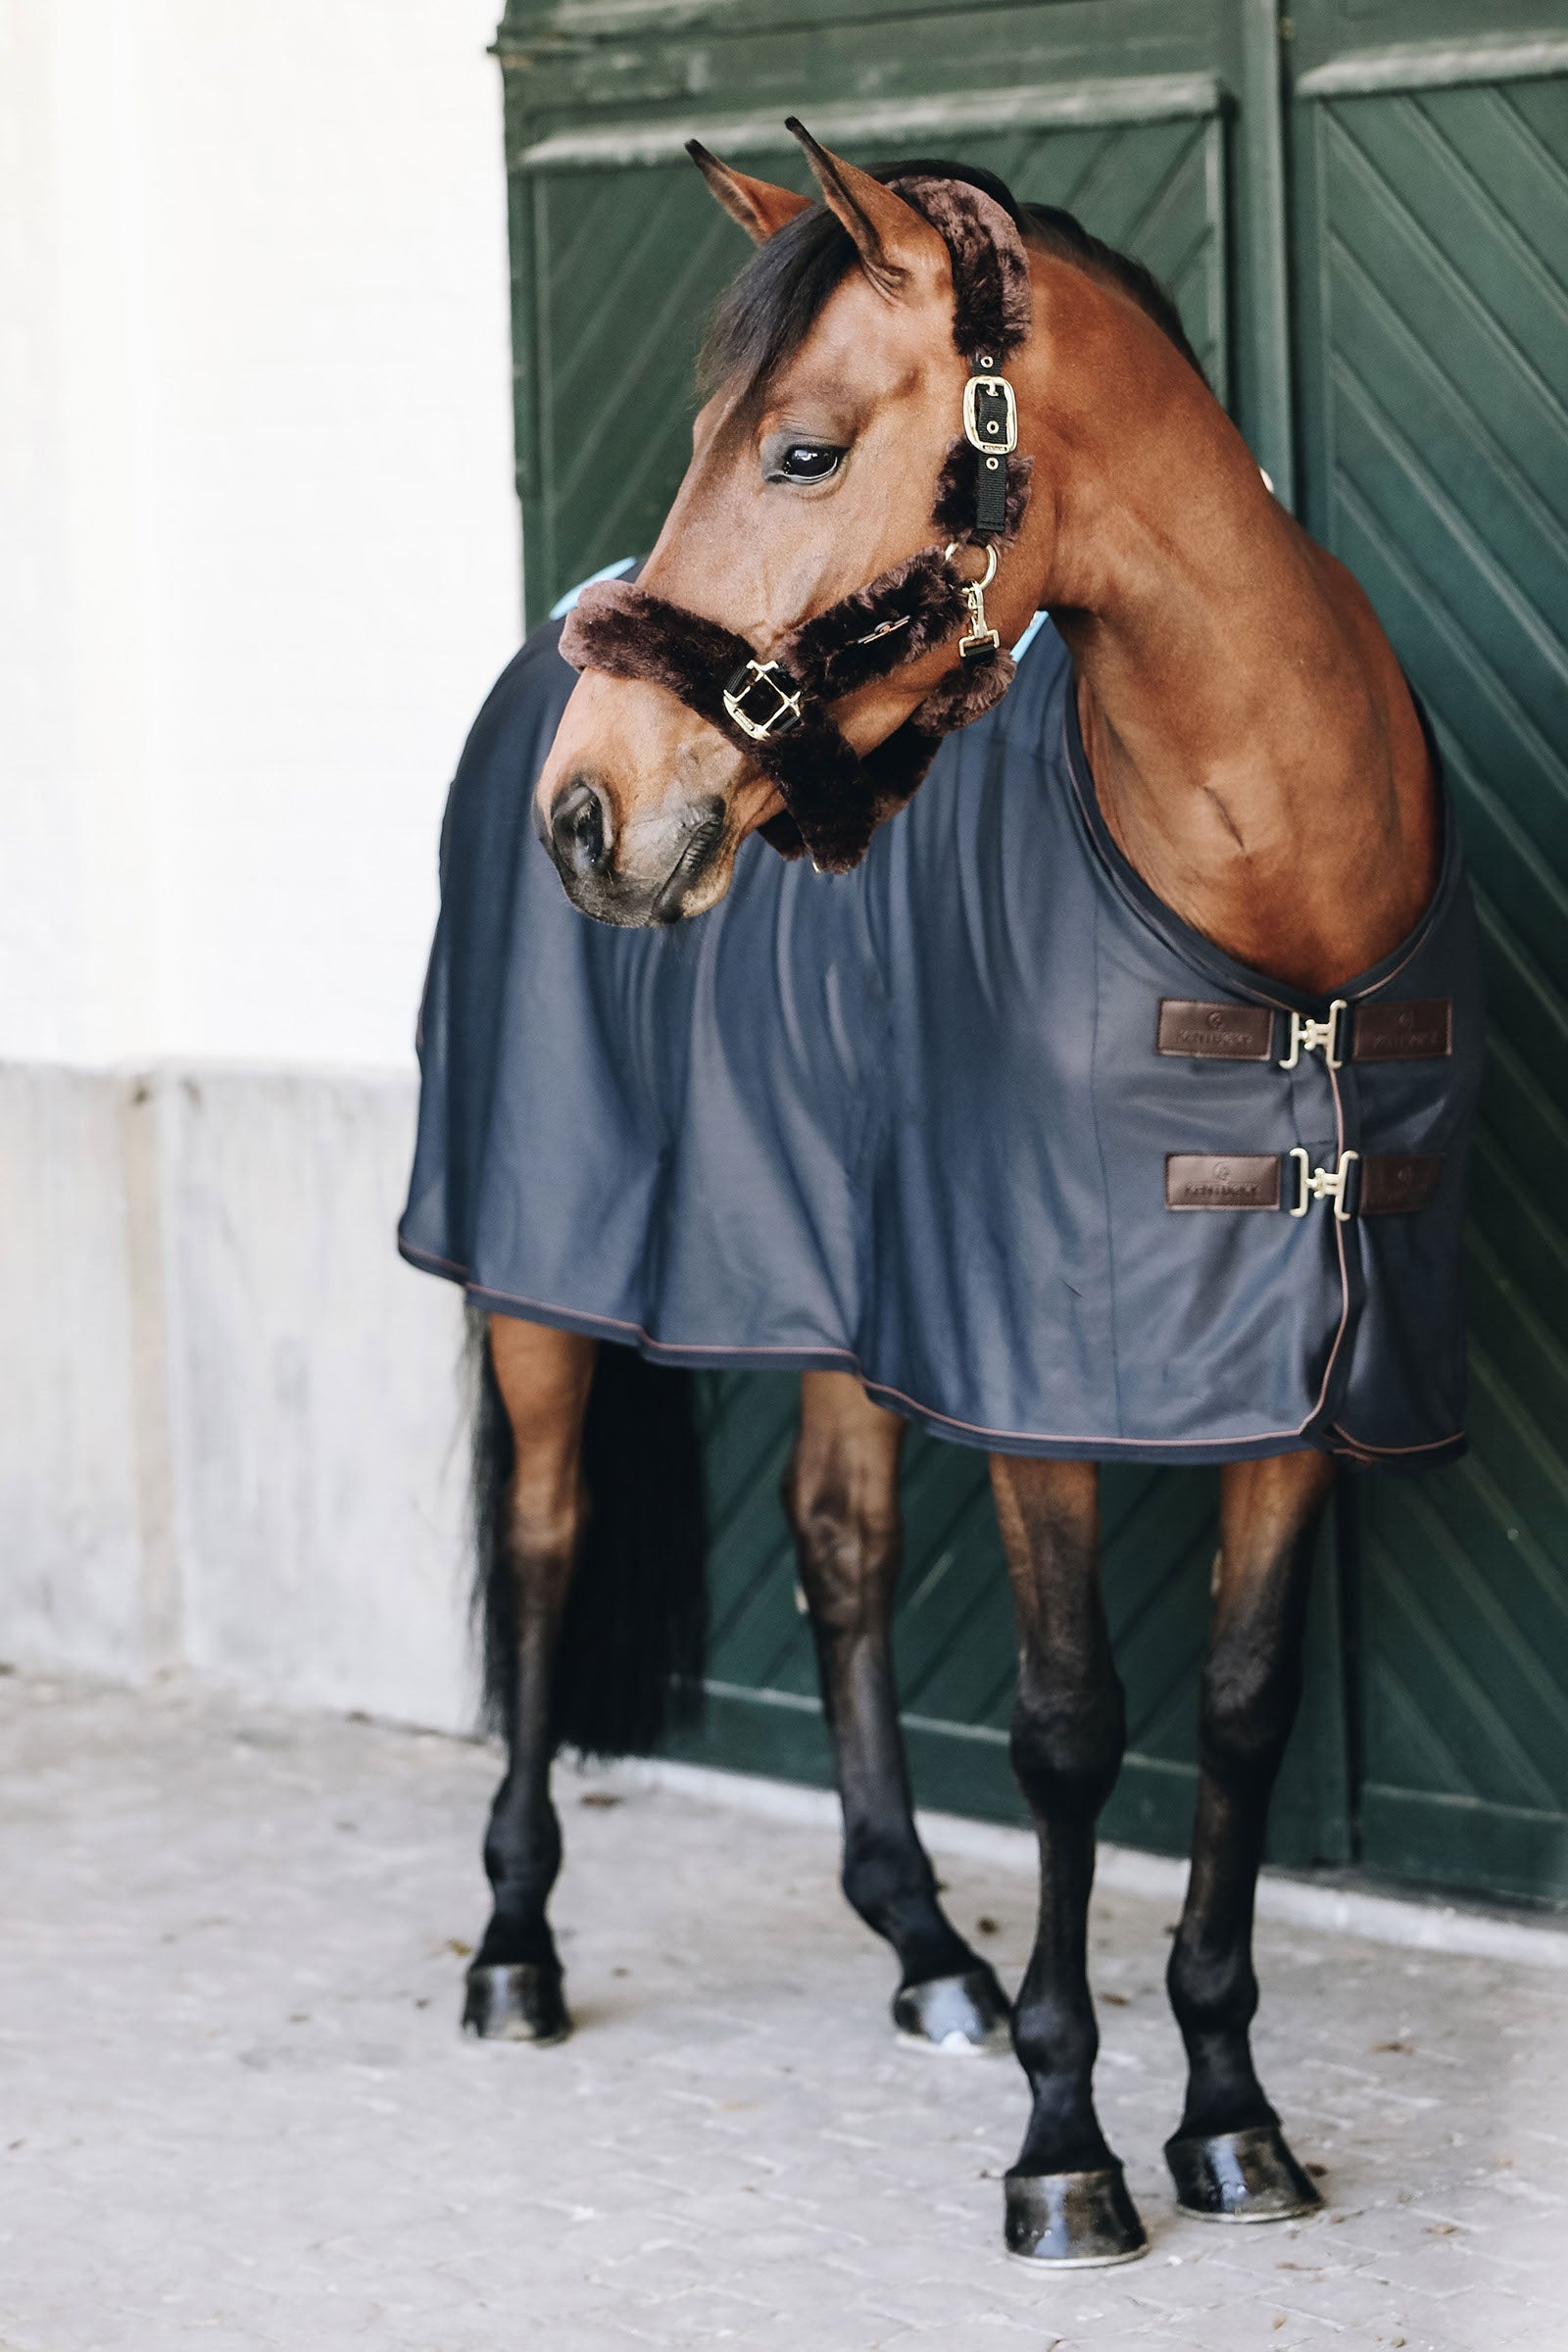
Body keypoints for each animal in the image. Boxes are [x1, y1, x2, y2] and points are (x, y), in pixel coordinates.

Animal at [522, 129, 1480, 2265]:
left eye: (796, 450)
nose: (589, 813)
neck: (1270, 909)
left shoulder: (1291, 1392)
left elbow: (1234, 1710)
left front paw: (1230, 2114)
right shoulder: (1039, 1389)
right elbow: (1064, 1730)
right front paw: (1066, 2146)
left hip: (829, 1300)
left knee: (840, 1548)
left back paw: (922, 1951)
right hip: (525, 1287)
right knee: (543, 1546)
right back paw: (510, 1950)